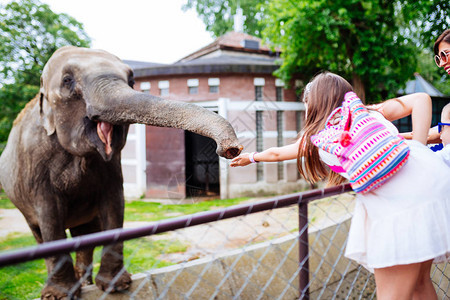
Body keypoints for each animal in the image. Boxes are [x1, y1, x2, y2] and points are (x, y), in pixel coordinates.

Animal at [0, 45, 243, 298]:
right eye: (67, 81)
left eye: (132, 80)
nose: (231, 149)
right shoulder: (35, 165)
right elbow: (50, 217)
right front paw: (59, 295)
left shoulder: (112, 165)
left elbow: (114, 203)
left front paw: (116, 285)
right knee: (40, 234)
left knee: (86, 235)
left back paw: (84, 283)